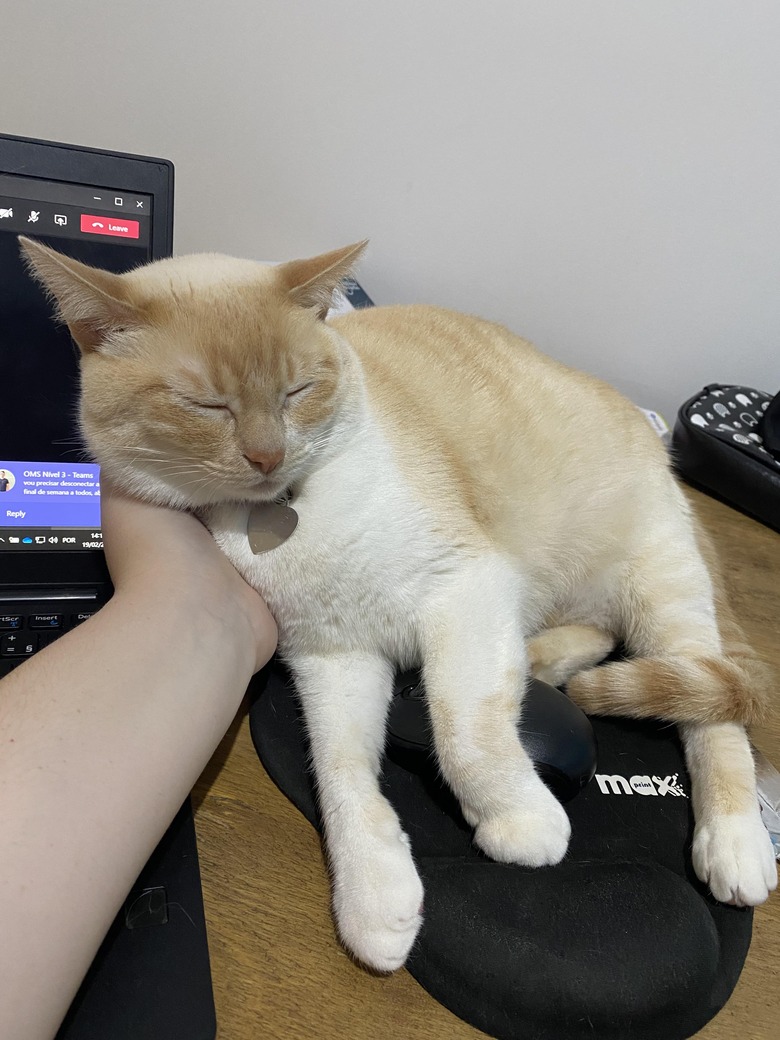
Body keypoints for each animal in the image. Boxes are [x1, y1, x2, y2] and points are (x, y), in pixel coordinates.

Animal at [21, 236, 777, 973]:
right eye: (207, 406)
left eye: (298, 390)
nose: (268, 457)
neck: (286, 511)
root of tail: (657, 447)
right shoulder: (334, 658)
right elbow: (340, 771)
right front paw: (374, 894)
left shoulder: (467, 587)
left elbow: (463, 734)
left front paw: (518, 818)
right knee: (594, 635)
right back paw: (544, 664)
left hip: (660, 587)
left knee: (711, 713)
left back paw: (736, 842)